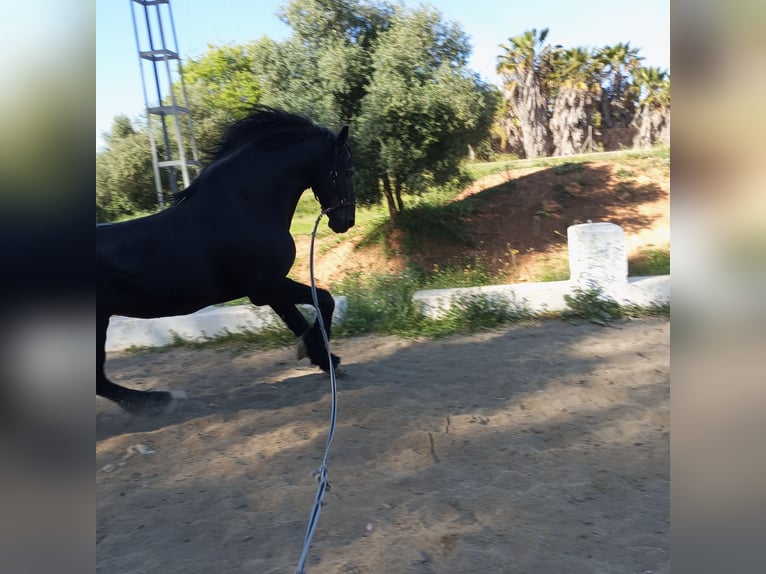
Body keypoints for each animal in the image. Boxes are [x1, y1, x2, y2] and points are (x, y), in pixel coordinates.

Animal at [97, 106, 355, 415]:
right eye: (348, 170)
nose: (346, 221)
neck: (246, 206)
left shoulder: (270, 290)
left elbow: (298, 321)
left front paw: (326, 360)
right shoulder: (266, 288)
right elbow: (324, 301)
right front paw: (322, 355)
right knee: (99, 378)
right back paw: (156, 400)